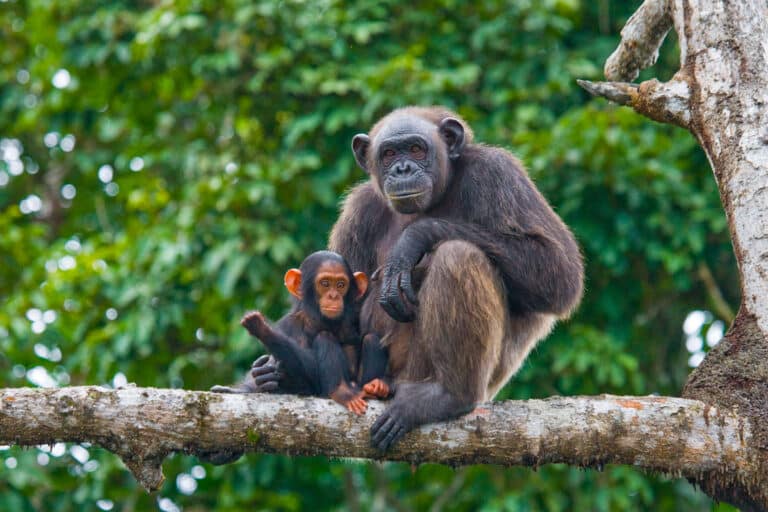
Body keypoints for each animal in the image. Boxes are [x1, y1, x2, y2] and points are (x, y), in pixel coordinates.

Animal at [211, 251, 391, 414]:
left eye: (341, 284)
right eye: (325, 283)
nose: (333, 296)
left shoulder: (357, 315)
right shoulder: (288, 325)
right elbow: (305, 373)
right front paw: (263, 330)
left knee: (371, 338)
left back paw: (376, 387)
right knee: (324, 337)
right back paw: (343, 392)